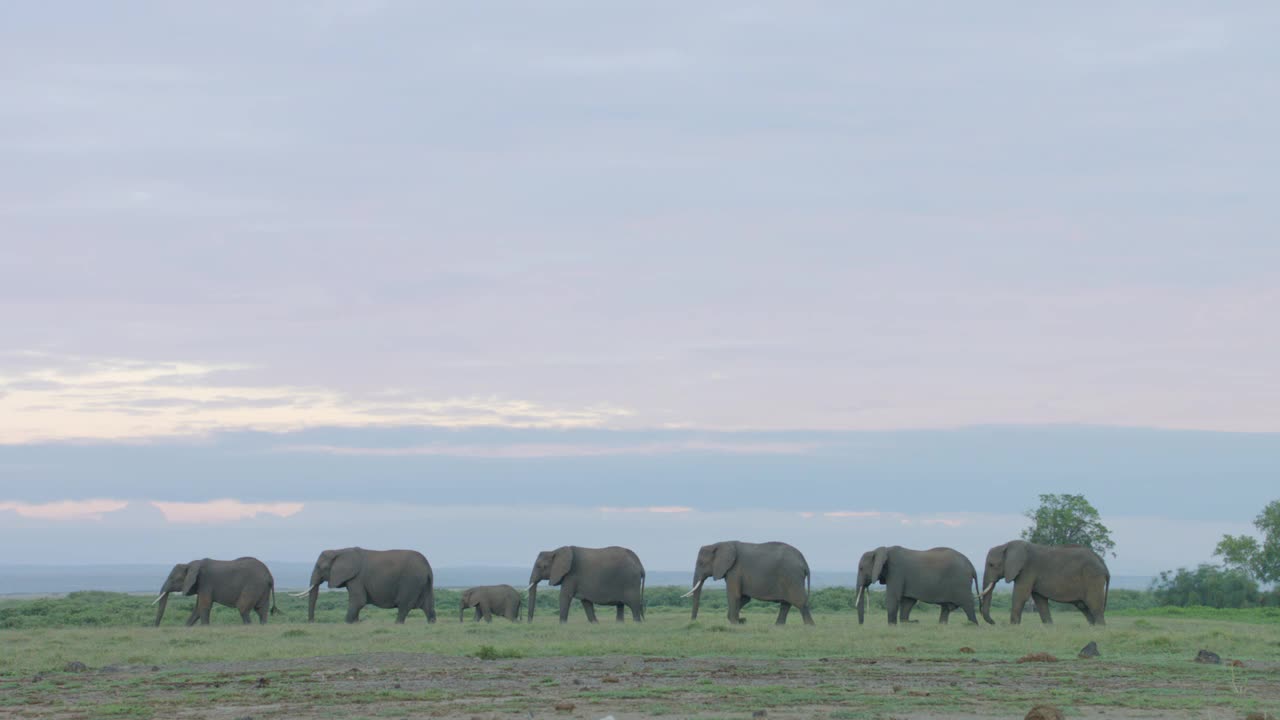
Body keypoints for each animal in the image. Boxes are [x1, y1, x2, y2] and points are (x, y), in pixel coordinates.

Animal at [296, 545, 437, 620]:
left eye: (321, 567)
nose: (312, 622)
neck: (340, 550)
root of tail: (427, 568)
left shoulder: (357, 578)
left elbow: (358, 601)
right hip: (425, 583)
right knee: (429, 608)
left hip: (411, 582)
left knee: (403, 607)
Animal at [686, 538, 814, 622]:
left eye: (701, 563)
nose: (693, 621)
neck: (719, 544)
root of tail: (804, 562)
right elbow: (744, 598)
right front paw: (738, 620)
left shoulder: (735, 570)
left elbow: (734, 595)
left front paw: (735, 623)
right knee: (786, 604)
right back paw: (778, 627)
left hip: (792, 576)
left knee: (800, 603)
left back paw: (810, 627)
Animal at [855, 543, 983, 622]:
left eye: (861, 568)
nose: (861, 624)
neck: (882, 550)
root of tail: (972, 566)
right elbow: (908, 602)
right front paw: (906, 623)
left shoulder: (896, 572)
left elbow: (893, 598)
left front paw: (892, 626)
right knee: (946, 608)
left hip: (961, 583)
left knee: (968, 606)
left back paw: (974, 626)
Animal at [977, 538, 1111, 622]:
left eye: (991, 565)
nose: (994, 622)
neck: (1007, 545)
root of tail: (1103, 563)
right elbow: (1040, 600)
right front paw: (1049, 628)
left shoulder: (1027, 570)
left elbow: (1020, 596)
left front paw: (1013, 628)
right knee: (1086, 609)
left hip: (1093, 577)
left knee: (1095, 607)